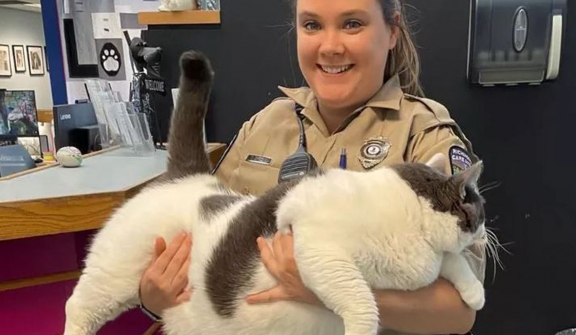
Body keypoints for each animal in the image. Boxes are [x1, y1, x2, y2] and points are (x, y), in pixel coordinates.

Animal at [62, 50, 486, 335]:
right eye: (478, 211)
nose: (485, 232)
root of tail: (187, 175)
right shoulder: (321, 253)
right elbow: (362, 300)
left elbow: (454, 264)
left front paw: (475, 293)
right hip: (112, 275)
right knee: (77, 306)